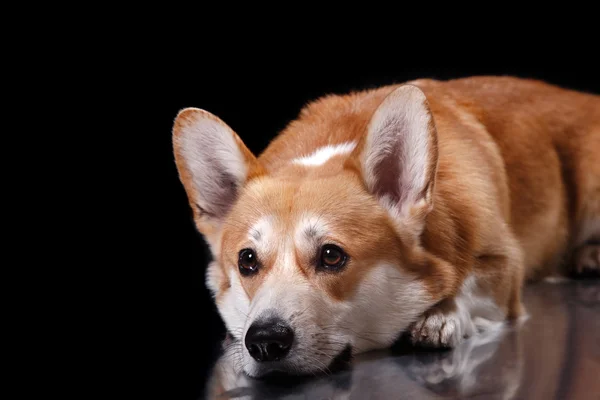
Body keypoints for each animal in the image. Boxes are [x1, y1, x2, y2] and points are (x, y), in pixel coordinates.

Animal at [171, 76, 596, 378]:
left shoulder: (505, 267)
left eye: (331, 255)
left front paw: (440, 316)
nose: (263, 341)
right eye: (247, 261)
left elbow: (468, 282)